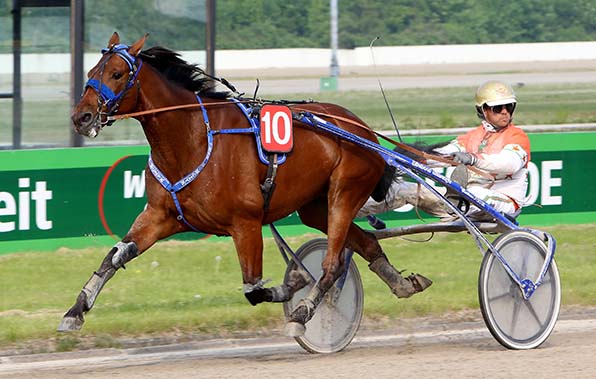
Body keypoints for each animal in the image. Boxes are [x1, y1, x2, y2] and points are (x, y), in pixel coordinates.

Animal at [60, 32, 430, 336]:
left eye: (117, 74)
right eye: (91, 72)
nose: (81, 117)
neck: (192, 139)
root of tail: (361, 127)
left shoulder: (246, 223)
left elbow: (253, 289)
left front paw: (293, 282)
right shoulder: (160, 216)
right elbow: (114, 257)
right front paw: (75, 311)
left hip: (344, 192)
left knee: (332, 264)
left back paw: (303, 312)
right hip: (315, 207)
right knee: (366, 242)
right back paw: (403, 284)